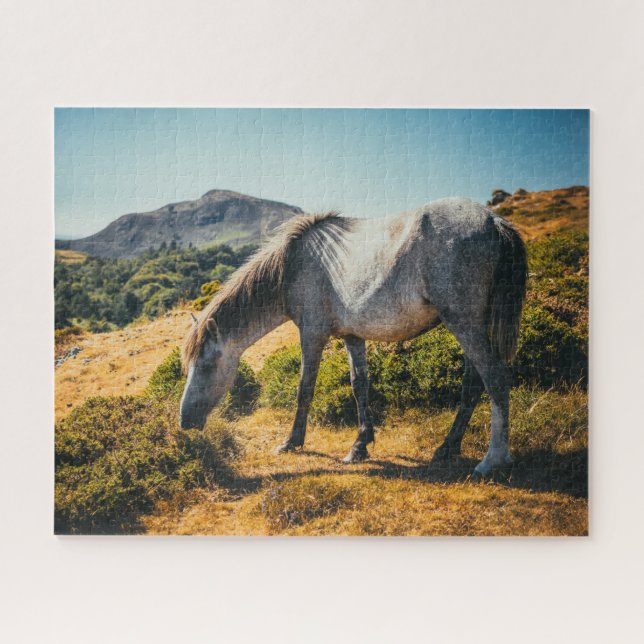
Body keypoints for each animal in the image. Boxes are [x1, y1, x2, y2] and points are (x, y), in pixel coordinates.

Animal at [180, 197, 527, 479]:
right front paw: (360, 446)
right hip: (469, 326)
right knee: (473, 383)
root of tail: (493, 221)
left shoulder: (312, 334)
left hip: (464, 323)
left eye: (207, 365)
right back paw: (447, 448)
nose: (184, 421)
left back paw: (493, 460)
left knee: (495, 378)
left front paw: (292, 442)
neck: (292, 266)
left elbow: (304, 388)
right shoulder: (352, 336)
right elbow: (359, 385)